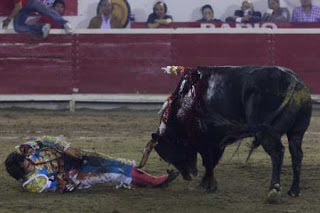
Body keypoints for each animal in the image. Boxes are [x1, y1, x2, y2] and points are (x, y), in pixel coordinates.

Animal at [139, 65, 312, 199]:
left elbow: (208, 162)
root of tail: (293, 81)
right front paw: (206, 183)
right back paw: (294, 190)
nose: (188, 176)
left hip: (267, 134)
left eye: (169, 152)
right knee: (297, 154)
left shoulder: (206, 140)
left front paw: (207, 185)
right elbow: (213, 161)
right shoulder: (217, 141)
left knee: (278, 153)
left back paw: (274, 190)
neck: (184, 103)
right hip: (297, 132)